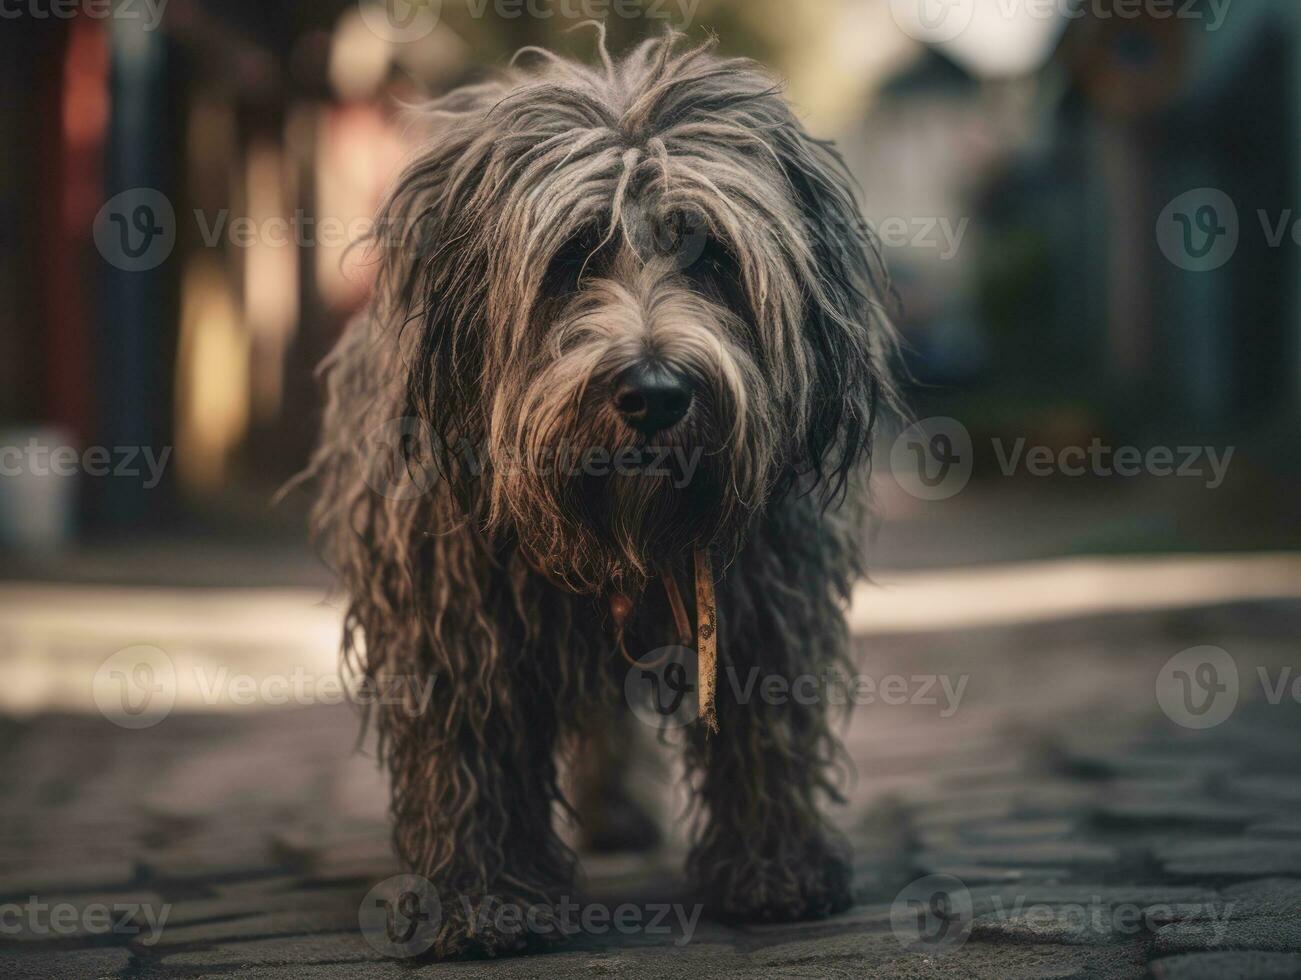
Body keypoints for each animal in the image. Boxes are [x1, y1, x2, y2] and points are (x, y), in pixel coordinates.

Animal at [308, 28, 895, 957]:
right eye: (571, 256)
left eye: (712, 256)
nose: (654, 394)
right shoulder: (454, 615)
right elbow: (469, 749)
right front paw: (480, 898)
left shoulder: (764, 595)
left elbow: (765, 728)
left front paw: (776, 870)